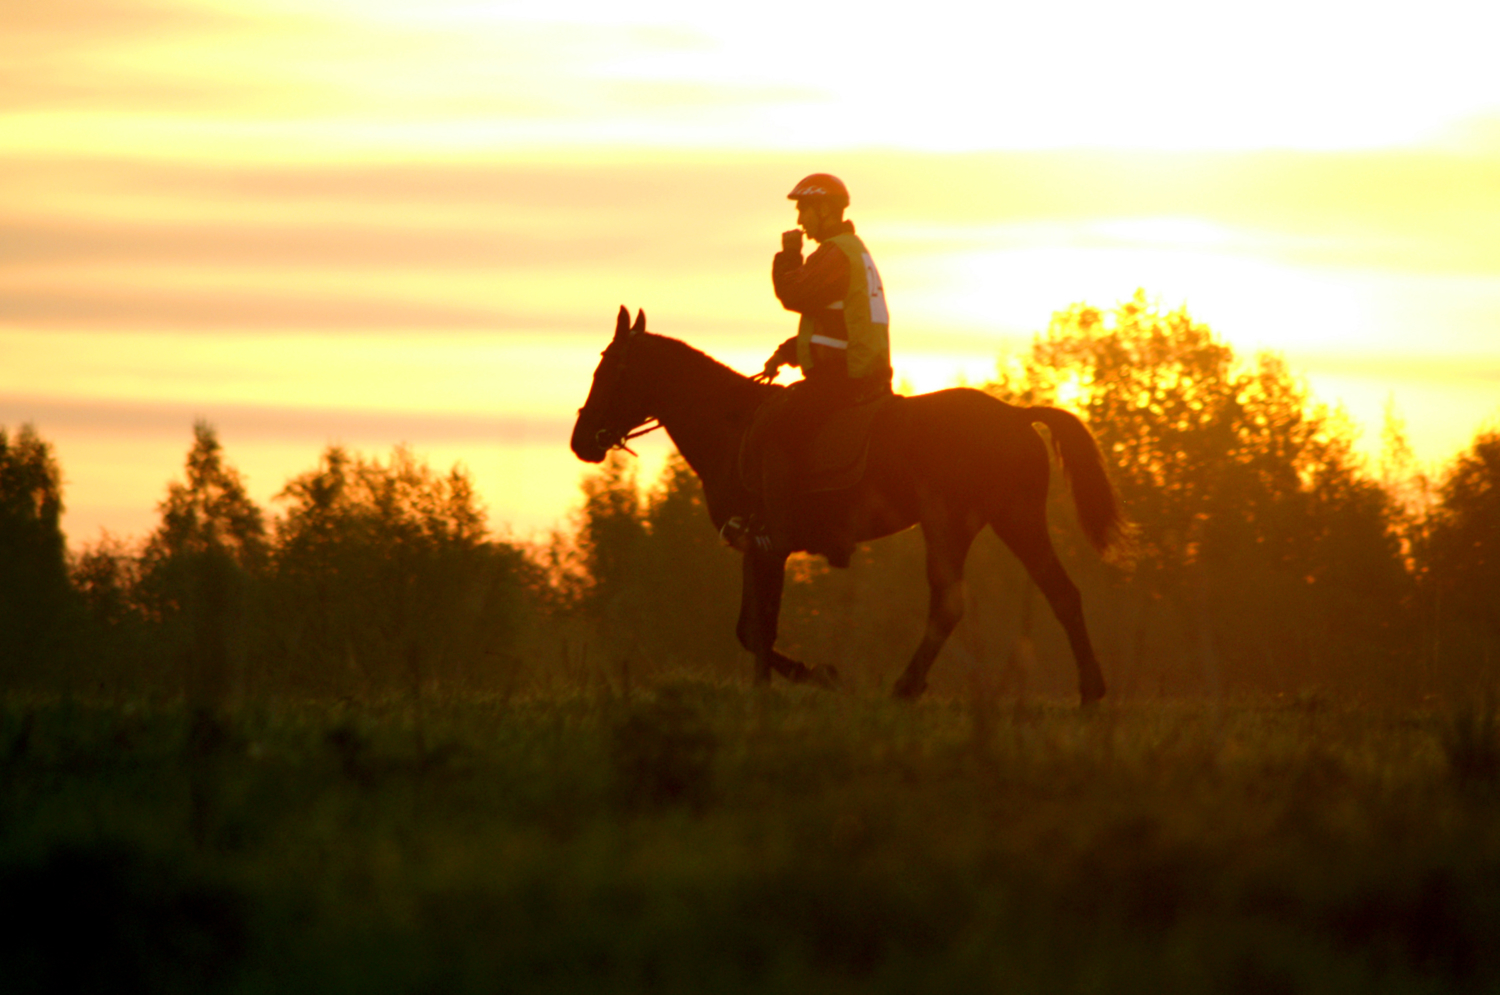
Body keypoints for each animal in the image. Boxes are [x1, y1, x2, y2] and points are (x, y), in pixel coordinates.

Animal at [573, 307, 1128, 705]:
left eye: (611, 370)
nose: (581, 441)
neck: (732, 428)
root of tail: (1015, 415)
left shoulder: (769, 546)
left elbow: (759, 627)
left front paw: (814, 677)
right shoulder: (755, 549)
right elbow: (750, 628)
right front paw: (788, 682)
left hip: (955, 524)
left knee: (952, 605)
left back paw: (905, 687)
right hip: (1009, 520)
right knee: (1060, 594)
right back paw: (1090, 691)